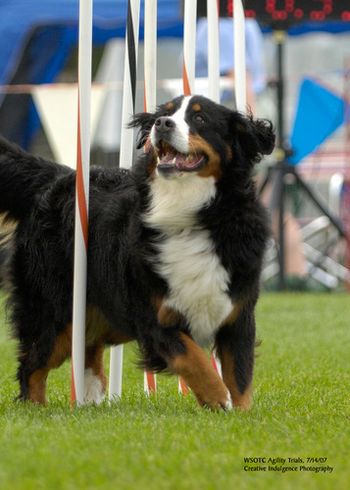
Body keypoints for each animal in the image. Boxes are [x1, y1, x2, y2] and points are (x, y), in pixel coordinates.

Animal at [0, 94, 274, 410]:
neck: (190, 214)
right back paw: (39, 408)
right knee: (32, 364)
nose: (162, 124)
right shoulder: (154, 316)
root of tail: (60, 176)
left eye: (200, 118)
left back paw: (91, 397)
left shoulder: (237, 314)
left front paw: (238, 411)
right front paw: (219, 398)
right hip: (54, 312)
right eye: (166, 113)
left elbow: (239, 374)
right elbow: (193, 359)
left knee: (87, 348)